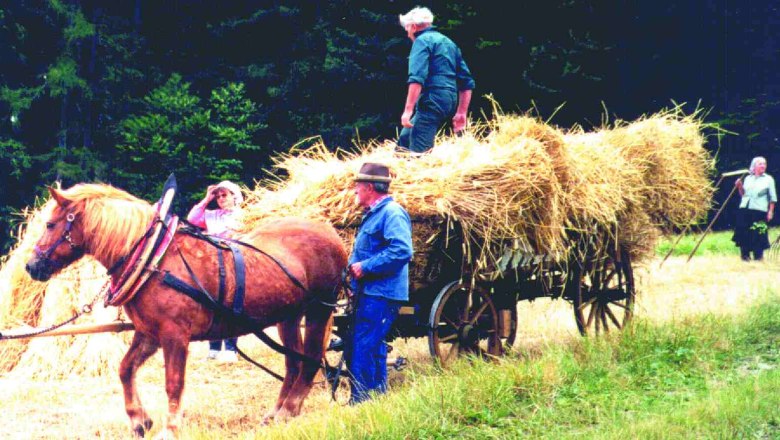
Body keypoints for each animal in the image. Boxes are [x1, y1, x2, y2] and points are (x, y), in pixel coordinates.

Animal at [25, 184, 348, 438]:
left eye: (50, 224)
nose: (31, 266)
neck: (153, 259)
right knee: (294, 362)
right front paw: (139, 420)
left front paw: (170, 429)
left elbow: (173, 383)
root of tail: (329, 232)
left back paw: (288, 410)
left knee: (309, 360)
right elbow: (125, 368)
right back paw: (277, 412)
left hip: (318, 309)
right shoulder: (148, 333)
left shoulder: (174, 335)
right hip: (288, 316)